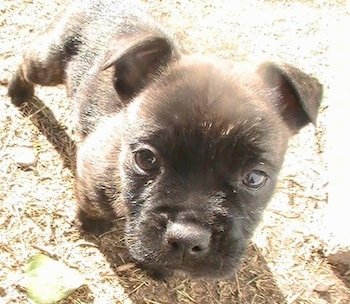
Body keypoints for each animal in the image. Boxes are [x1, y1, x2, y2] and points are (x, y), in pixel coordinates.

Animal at [7, 0, 322, 280]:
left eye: (255, 178)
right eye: (145, 159)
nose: (187, 239)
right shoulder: (90, 168)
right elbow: (89, 202)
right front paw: (90, 222)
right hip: (48, 62)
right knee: (27, 61)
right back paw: (17, 92)